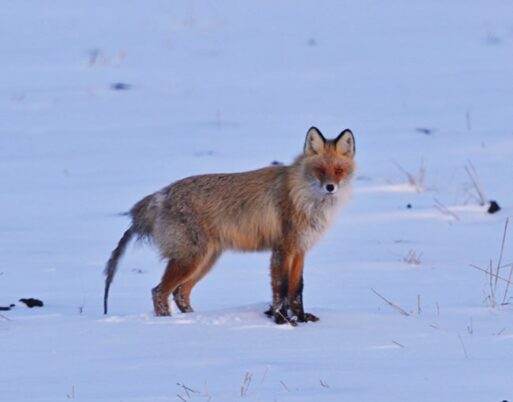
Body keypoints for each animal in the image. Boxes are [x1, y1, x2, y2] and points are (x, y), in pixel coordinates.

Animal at [102, 127, 354, 326]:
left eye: (338, 170)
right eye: (319, 170)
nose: (330, 187)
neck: (303, 198)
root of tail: (160, 194)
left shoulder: (300, 250)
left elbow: (296, 290)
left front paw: (301, 319)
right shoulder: (283, 249)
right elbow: (280, 289)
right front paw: (282, 321)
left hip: (206, 260)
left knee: (180, 293)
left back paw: (193, 319)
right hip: (191, 259)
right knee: (159, 292)